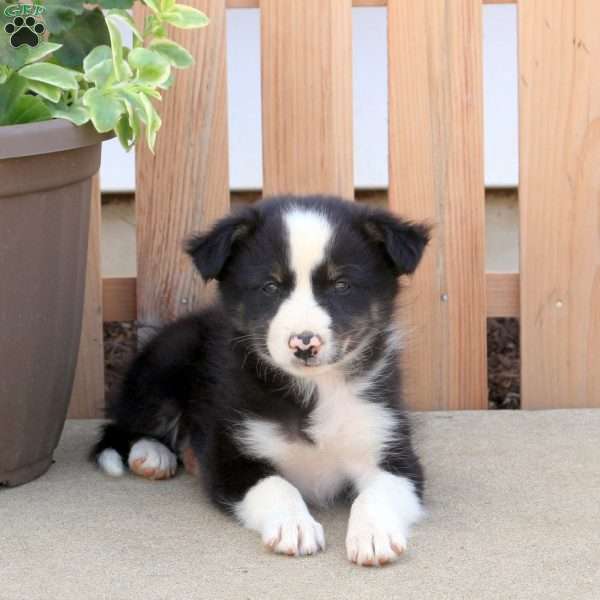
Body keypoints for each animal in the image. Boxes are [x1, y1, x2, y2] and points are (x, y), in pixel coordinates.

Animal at [94, 196, 428, 568]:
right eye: (270, 287)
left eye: (342, 285)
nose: (304, 344)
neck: (312, 391)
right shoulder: (232, 456)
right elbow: (276, 485)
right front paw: (294, 526)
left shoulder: (391, 450)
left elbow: (377, 494)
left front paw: (373, 535)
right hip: (166, 362)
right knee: (122, 427)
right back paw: (152, 454)